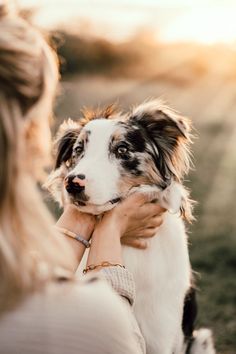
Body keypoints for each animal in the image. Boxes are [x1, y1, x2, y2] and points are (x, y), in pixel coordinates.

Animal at [45, 99, 216, 354]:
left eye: (122, 150)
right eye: (78, 150)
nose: (72, 184)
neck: (122, 245)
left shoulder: (160, 334)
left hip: (200, 340)